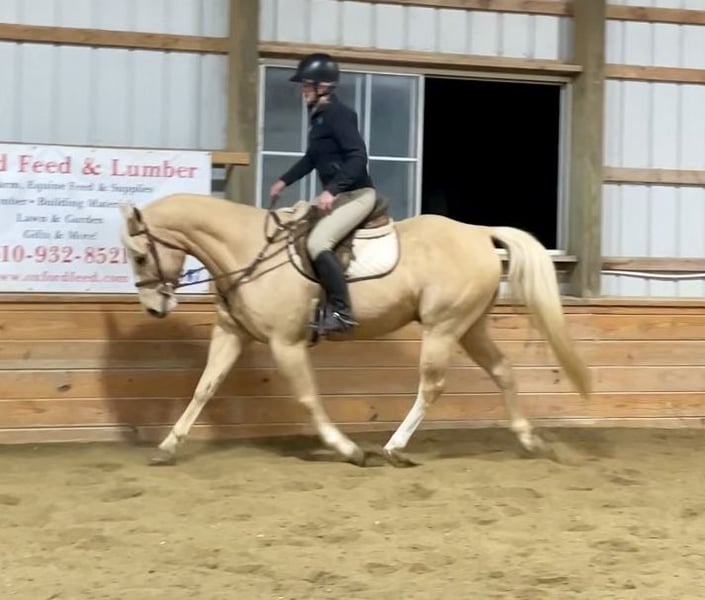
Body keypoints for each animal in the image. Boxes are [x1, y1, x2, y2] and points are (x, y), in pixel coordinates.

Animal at [118, 192, 591, 467]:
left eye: (139, 256)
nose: (154, 308)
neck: (246, 250)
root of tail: (479, 233)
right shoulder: (231, 334)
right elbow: (205, 387)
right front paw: (168, 446)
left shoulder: (286, 343)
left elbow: (308, 398)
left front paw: (347, 449)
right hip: (470, 326)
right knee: (502, 371)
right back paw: (529, 441)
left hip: (444, 327)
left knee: (432, 386)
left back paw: (395, 448)